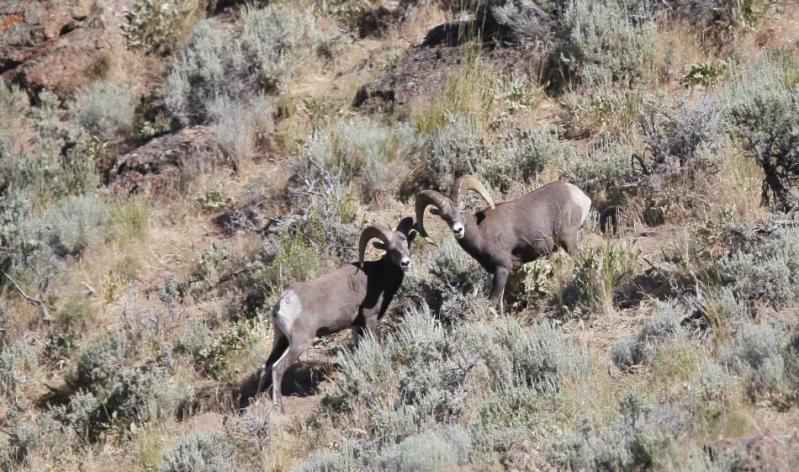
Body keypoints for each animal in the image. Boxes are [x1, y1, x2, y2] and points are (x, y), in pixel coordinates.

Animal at [255, 217, 417, 410]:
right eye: (391, 248)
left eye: (406, 242)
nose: (406, 263)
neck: (379, 277)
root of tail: (282, 304)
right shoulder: (370, 320)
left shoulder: (356, 326)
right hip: (299, 344)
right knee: (277, 368)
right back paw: (279, 407)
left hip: (280, 340)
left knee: (266, 366)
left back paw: (256, 401)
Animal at [415, 175, 591, 314]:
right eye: (445, 217)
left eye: (462, 209)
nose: (458, 230)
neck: (480, 233)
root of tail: (580, 196)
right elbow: (500, 303)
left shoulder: (502, 269)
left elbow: (492, 302)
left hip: (568, 240)